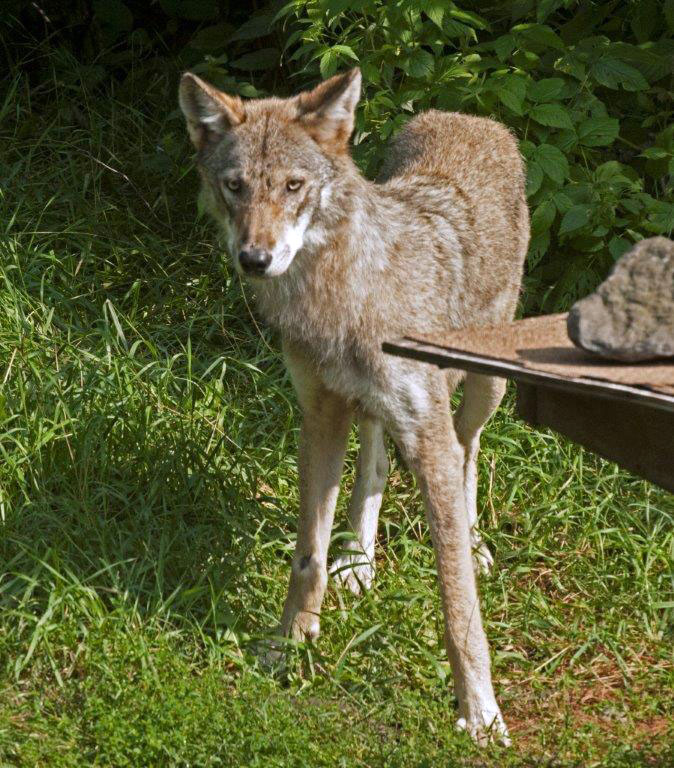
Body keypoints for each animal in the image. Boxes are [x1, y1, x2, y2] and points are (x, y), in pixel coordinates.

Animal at [179, 67, 529, 744]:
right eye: (235, 186)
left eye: (293, 186)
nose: (254, 258)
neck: (337, 296)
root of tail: (472, 117)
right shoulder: (319, 414)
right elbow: (307, 559)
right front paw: (288, 647)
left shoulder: (428, 432)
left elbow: (458, 603)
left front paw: (481, 712)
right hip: (369, 410)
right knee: (376, 464)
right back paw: (359, 561)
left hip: (484, 389)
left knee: (470, 450)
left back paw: (474, 542)